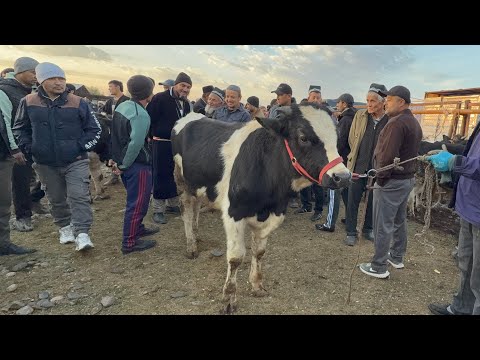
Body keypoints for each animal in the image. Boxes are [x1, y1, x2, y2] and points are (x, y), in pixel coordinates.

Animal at [171, 103, 350, 312]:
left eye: (337, 137)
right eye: (303, 137)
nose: (343, 177)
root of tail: (192, 115)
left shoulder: (273, 214)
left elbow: (259, 252)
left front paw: (257, 286)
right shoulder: (233, 213)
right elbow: (236, 257)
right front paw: (228, 299)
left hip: (198, 183)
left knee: (197, 205)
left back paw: (196, 233)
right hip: (181, 180)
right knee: (186, 209)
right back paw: (191, 245)